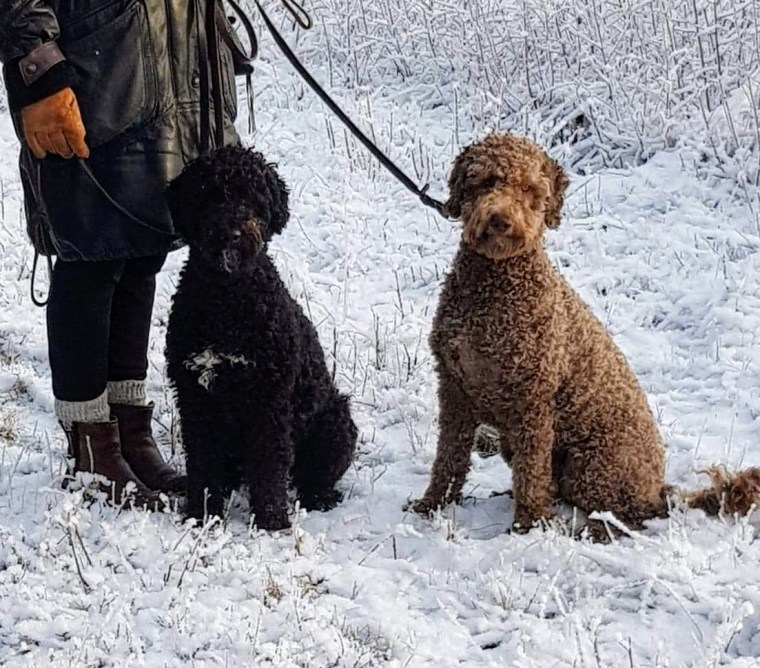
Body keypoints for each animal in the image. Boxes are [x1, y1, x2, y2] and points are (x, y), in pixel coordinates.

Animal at [165, 146, 357, 530]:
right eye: (210, 193)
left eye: (251, 197)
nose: (232, 232)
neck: (226, 301)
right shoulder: (195, 396)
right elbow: (202, 462)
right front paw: (202, 513)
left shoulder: (269, 399)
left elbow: (269, 461)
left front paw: (271, 519)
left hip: (336, 419)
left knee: (312, 475)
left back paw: (320, 497)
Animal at [409, 132, 760, 536]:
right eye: (484, 181)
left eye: (528, 188)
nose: (499, 220)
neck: (494, 289)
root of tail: (658, 488)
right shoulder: (453, 388)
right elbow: (448, 458)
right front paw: (432, 505)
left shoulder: (533, 401)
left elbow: (531, 472)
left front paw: (527, 526)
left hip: (592, 465)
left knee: (628, 513)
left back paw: (591, 529)